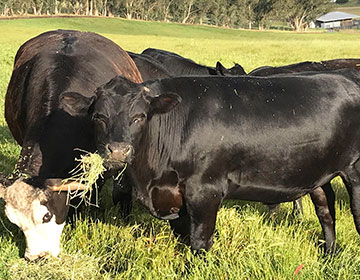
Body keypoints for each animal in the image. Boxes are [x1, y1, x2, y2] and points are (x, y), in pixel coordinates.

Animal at [69, 68, 360, 254]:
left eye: (140, 116)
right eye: (98, 116)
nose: (117, 151)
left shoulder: (205, 191)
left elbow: (200, 241)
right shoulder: (175, 197)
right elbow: (183, 235)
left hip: (355, 171)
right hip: (317, 172)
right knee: (326, 209)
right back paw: (330, 253)